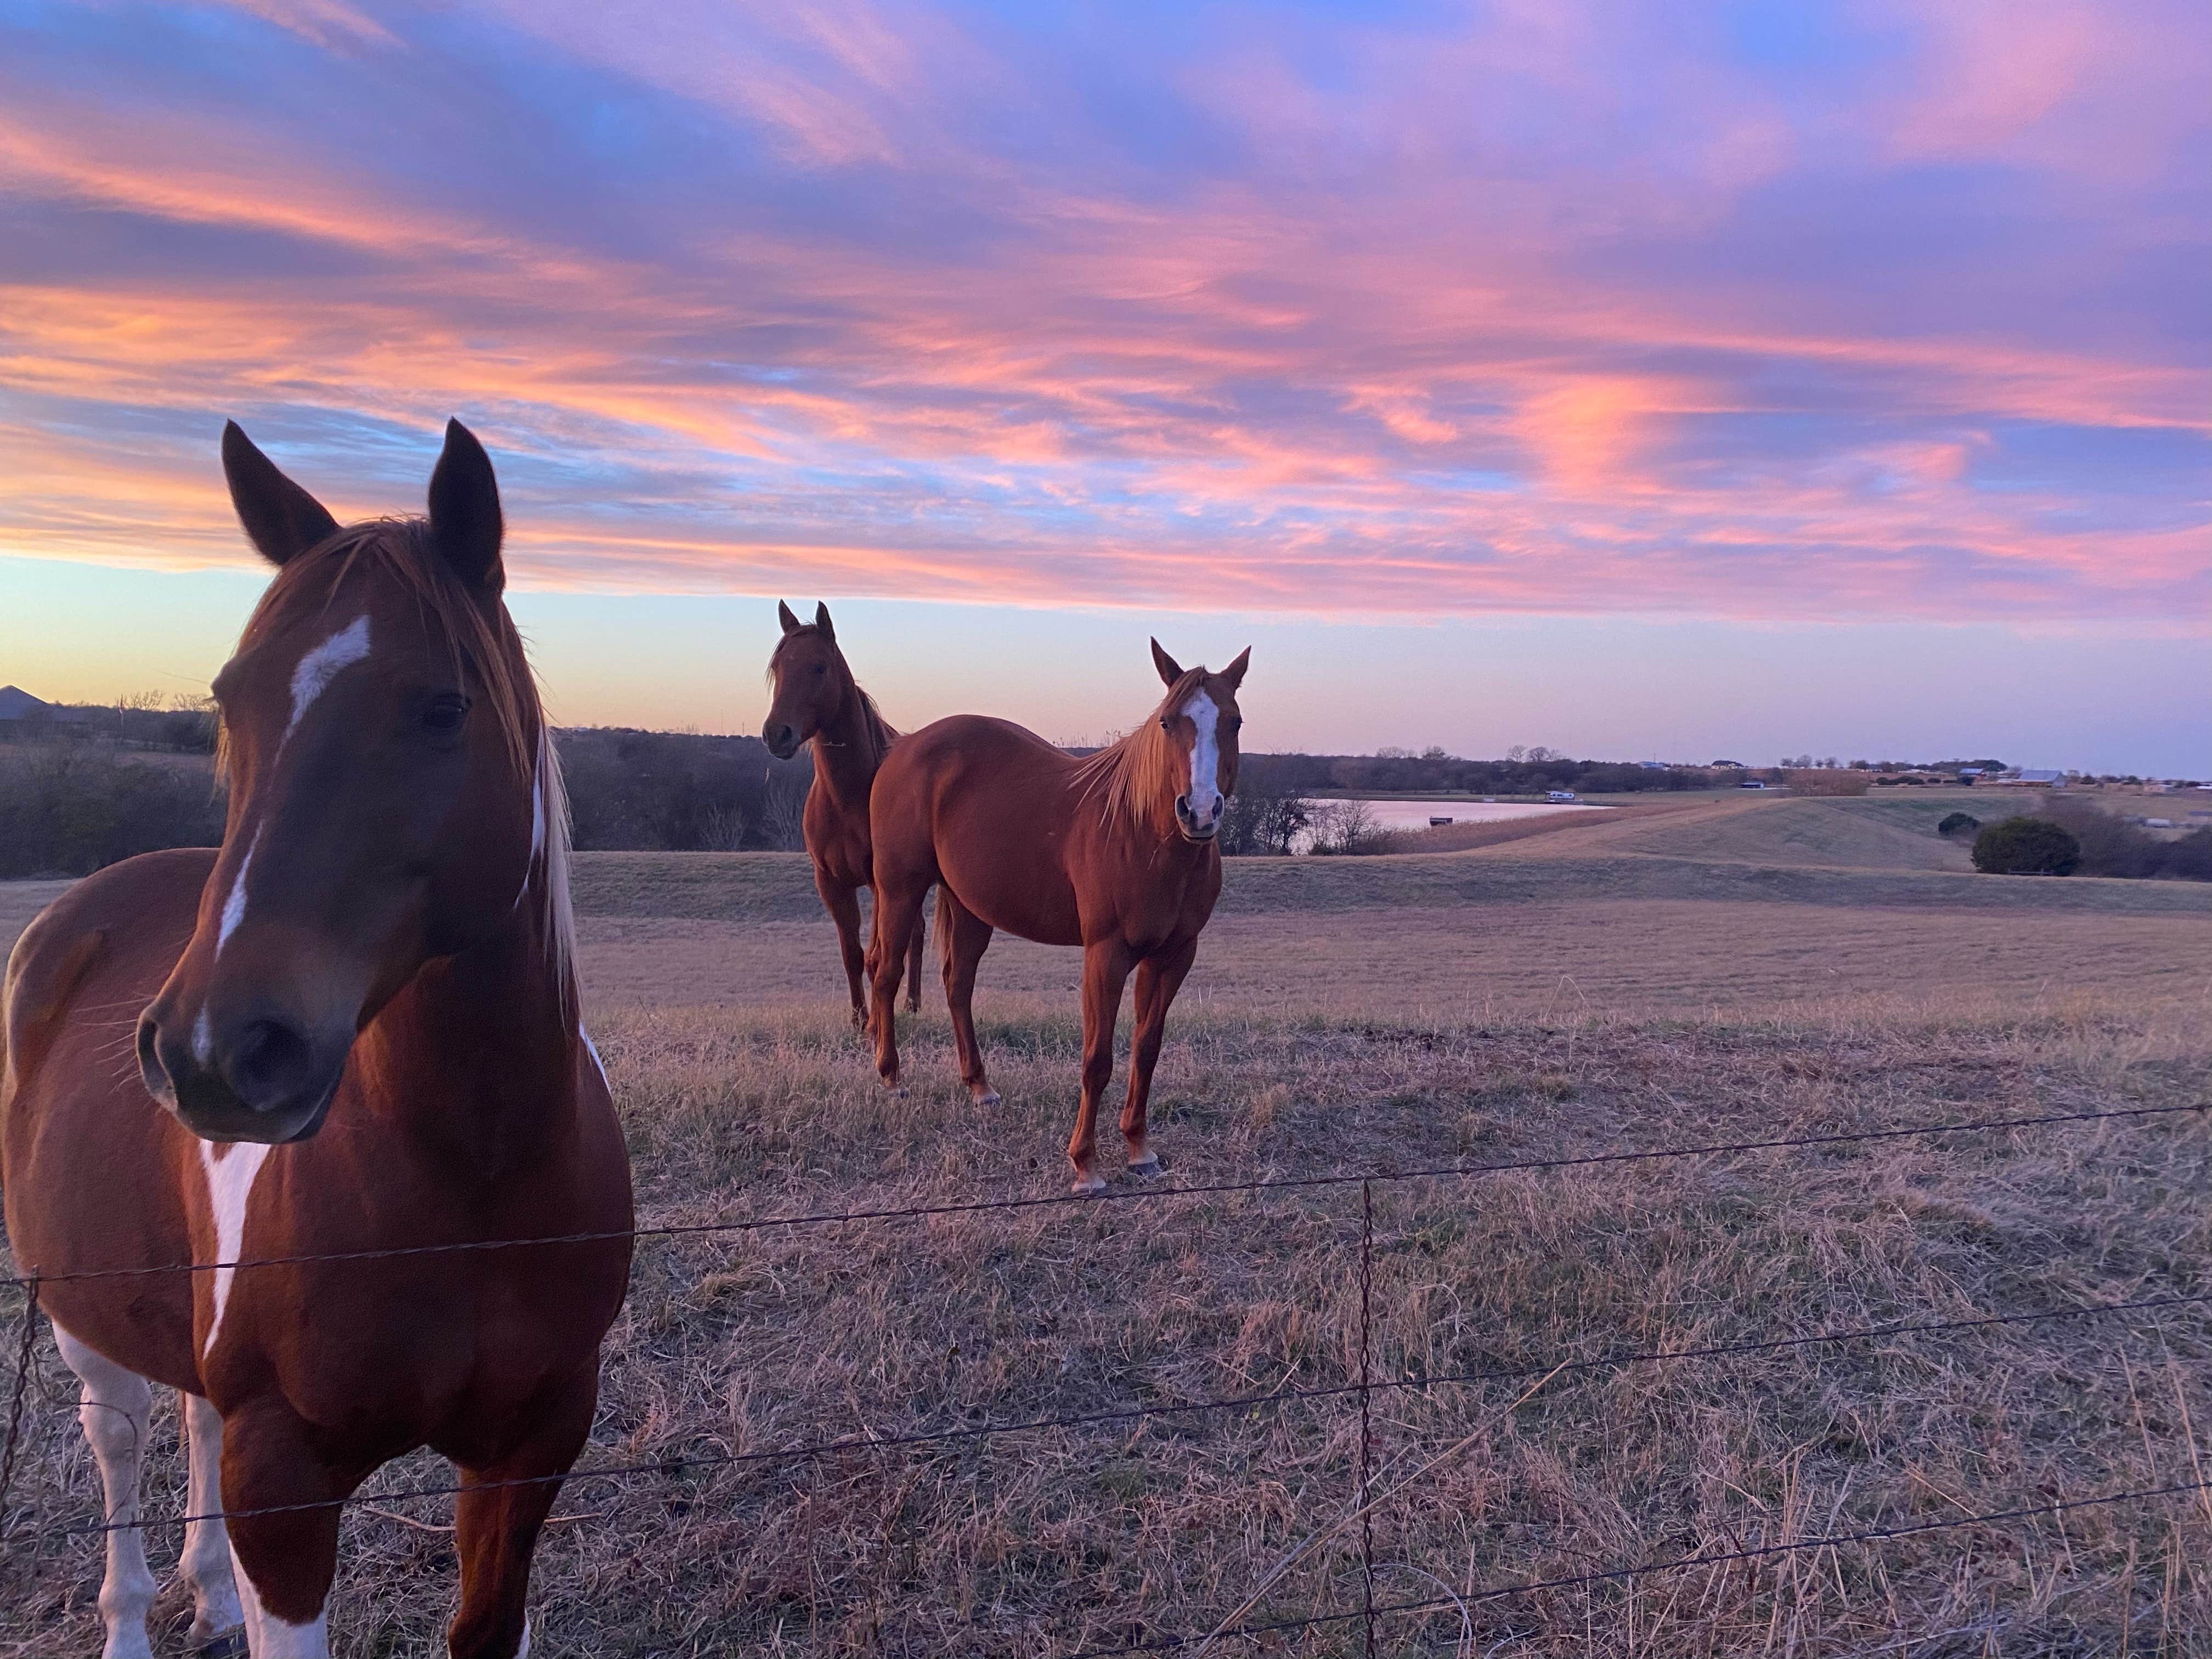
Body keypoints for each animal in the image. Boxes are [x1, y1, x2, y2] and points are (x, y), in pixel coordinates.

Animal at [0, 421, 631, 1658]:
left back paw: (203, 1590)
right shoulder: (283, 1481)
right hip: (81, 1310)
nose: (214, 1052)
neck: (467, 1180)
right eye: (229, 698)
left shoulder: (530, 1449)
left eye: (443, 707)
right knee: (119, 1439)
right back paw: (133, 1620)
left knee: (187, 1420)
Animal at [760, 602, 928, 1025]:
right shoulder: (831, 884)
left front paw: (877, 1023)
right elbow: (852, 956)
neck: (846, 799)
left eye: (820, 667)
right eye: (778, 669)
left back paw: (913, 1004)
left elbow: (876, 958)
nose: (776, 735)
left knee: (916, 935)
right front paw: (858, 1019)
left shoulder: (880, 884)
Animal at [865, 640, 1248, 1192]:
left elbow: (1147, 1049)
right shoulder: (1106, 956)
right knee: (887, 974)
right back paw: (892, 1077)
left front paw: (1139, 1148)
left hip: (969, 906)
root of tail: (905, 748)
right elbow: (1098, 1059)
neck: (1147, 838)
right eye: (1167, 722)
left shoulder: (1173, 956)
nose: (1198, 812)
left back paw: (979, 1086)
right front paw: (1085, 1164)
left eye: (1234, 721)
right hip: (900, 891)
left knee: (958, 986)